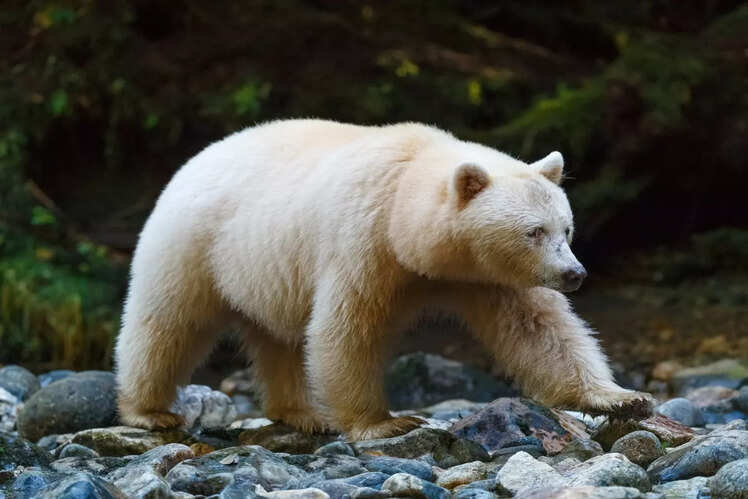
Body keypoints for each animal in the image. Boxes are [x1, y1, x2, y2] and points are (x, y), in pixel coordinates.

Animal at [115, 119, 652, 440]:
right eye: (533, 231)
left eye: (567, 228)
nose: (574, 274)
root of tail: (193, 160)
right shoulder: (364, 242)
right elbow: (347, 329)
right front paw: (383, 423)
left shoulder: (487, 275)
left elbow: (539, 330)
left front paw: (624, 399)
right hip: (194, 244)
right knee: (168, 323)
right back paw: (150, 410)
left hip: (263, 267)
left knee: (278, 338)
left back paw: (302, 413)